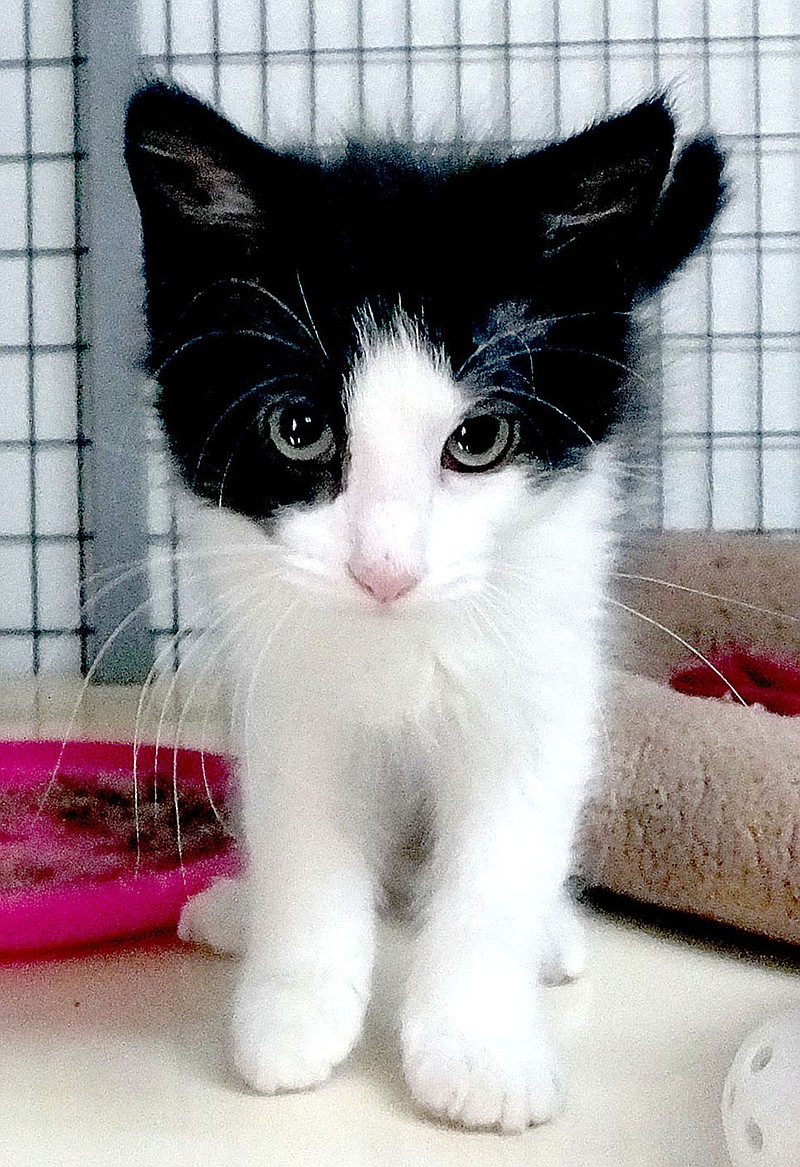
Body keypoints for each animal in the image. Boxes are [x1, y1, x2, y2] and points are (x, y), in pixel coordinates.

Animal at [125, 84, 727, 1138]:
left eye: (478, 439)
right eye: (299, 429)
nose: (386, 570)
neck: (398, 641)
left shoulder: (540, 667)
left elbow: (502, 857)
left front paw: (477, 1048)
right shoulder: (288, 677)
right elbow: (306, 830)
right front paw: (294, 1007)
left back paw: (549, 938)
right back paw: (241, 907)